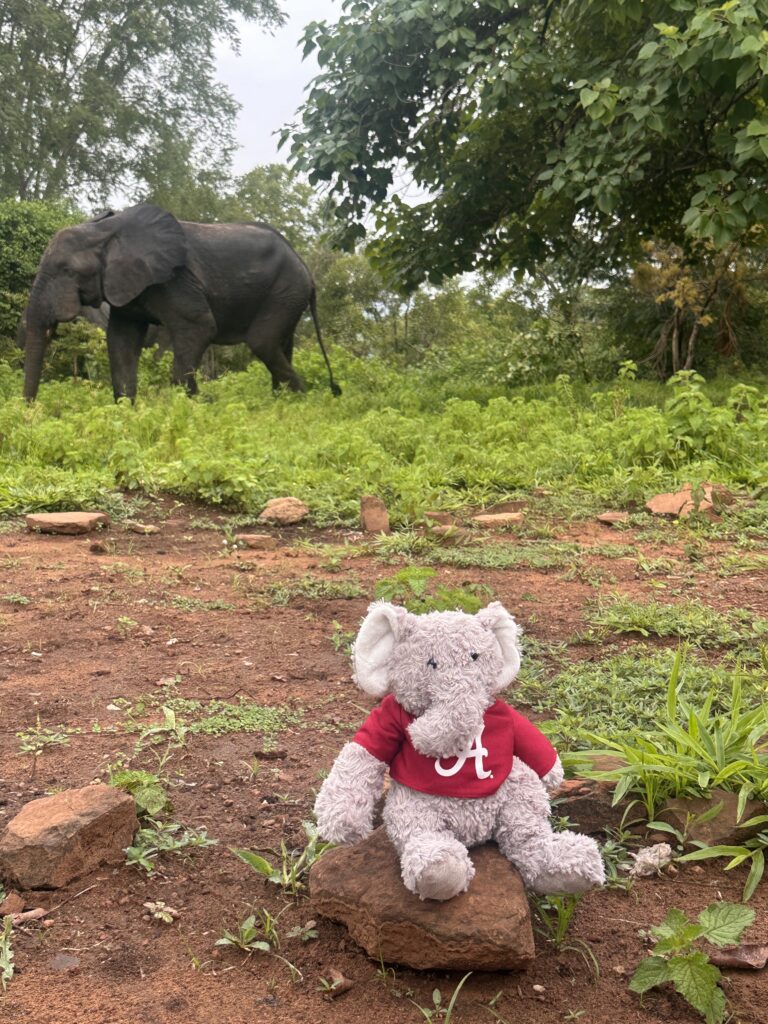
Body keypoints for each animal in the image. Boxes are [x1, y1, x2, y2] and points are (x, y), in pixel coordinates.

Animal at [20, 203, 341, 401]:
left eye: (67, 271)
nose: (30, 411)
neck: (107, 231)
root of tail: (305, 267)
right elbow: (121, 340)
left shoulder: (173, 280)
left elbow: (199, 327)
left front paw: (189, 406)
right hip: (286, 293)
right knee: (281, 345)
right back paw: (282, 404)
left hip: (285, 290)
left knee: (262, 342)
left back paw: (300, 402)